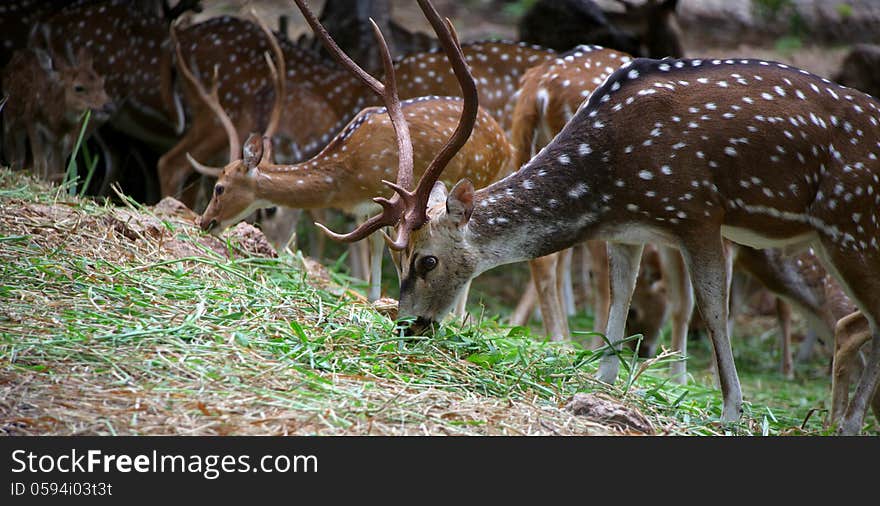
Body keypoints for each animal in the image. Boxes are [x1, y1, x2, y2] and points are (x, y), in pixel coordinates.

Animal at [374, 53, 880, 434]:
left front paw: (731, 411)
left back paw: (850, 424)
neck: (611, 181)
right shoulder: (630, 231)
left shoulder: (697, 212)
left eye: (427, 261)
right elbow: (621, 298)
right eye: (397, 258)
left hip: (851, 223)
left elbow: (712, 308)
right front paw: (603, 386)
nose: (405, 326)